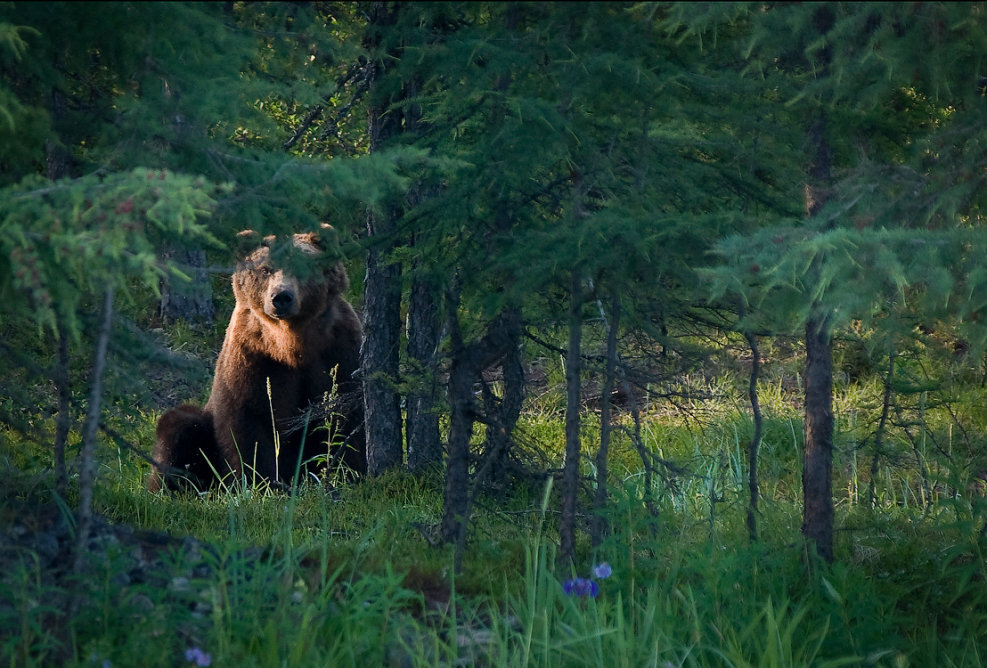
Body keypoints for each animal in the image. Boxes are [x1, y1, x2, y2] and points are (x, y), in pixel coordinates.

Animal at [145, 227, 364, 494]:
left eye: (303, 265)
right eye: (265, 269)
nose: (281, 297)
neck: (290, 344)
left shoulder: (337, 350)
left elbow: (344, 413)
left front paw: (348, 472)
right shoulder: (252, 357)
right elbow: (248, 424)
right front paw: (259, 483)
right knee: (179, 426)